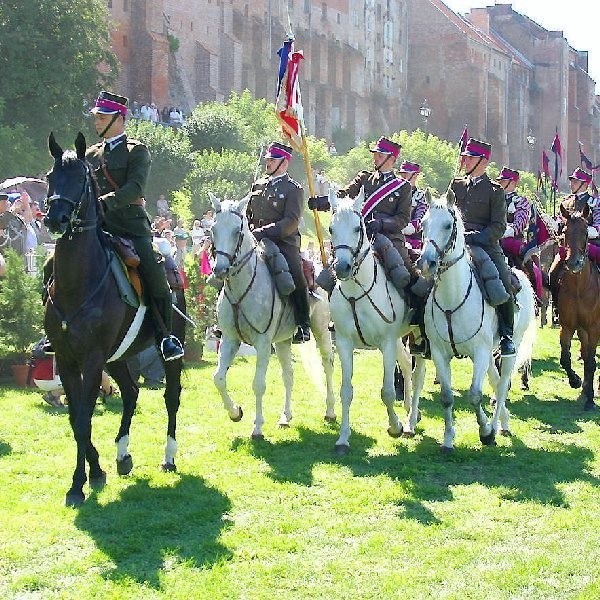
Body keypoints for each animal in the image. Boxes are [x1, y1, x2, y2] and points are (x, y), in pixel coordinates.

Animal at [43, 132, 185, 506]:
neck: (80, 281)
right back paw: (122, 454)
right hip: (118, 356)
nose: (54, 219)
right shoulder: (67, 359)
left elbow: (83, 416)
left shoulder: (92, 359)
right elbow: (76, 419)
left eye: (81, 178)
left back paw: (168, 456)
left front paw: (78, 483)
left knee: (171, 397)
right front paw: (95, 471)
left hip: (169, 350)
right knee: (132, 392)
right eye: (50, 177)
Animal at [209, 195, 336, 438]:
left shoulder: (262, 342)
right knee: (289, 374)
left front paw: (257, 427)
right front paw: (235, 412)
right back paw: (285, 417)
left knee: (328, 364)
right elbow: (218, 379)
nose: (220, 270)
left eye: (237, 232)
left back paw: (330, 411)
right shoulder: (230, 339)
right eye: (213, 229)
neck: (241, 288)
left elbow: (258, 383)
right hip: (283, 341)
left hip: (321, 330)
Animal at [328, 192, 422, 454]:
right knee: (407, 365)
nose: (341, 267)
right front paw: (342, 439)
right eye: (330, 228)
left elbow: (388, 391)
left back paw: (411, 421)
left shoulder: (386, 343)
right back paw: (408, 409)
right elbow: (346, 391)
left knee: (417, 374)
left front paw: (395, 427)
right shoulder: (344, 343)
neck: (356, 292)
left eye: (357, 228)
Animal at [414, 190, 536, 452]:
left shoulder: (479, 352)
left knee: (502, 385)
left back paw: (497, 425)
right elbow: (447, 397)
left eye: (448, 225)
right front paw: (448, 440)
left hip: (510, 348)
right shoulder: (439, 353)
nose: (426, 263)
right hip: (490, 352)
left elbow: (474, 394)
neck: (452, 298)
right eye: (424, 223)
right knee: (495, 380)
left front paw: (486, 432)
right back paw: (503, 422)